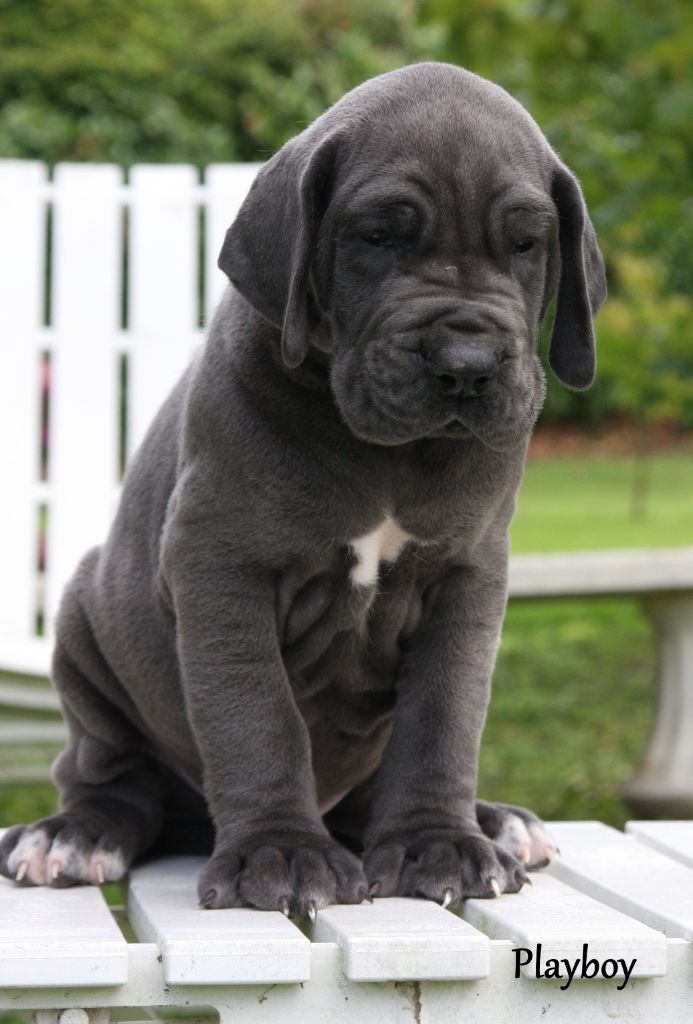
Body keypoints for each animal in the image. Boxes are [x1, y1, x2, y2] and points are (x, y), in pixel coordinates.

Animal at [0, 62, 605, 916]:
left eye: (526, 244)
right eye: (377, 237)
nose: (466, 362)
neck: (389, 454)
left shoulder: (468, 574)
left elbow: (443, 714)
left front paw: (437, 842)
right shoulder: (221, 566)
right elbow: (256, 714)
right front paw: (280, 853)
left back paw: (490, 819)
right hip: (86, 622)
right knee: (111, 773)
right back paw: (74, 833)